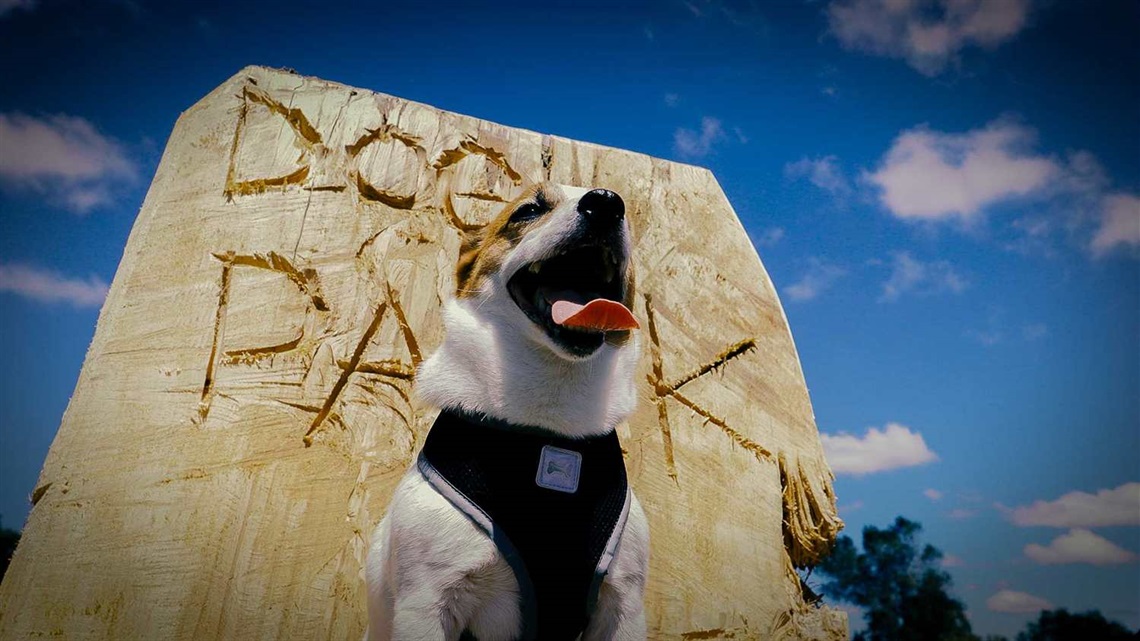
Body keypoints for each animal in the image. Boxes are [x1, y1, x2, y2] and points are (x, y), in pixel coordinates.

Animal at [367, 181, 652, 638]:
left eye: (624, 211)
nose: (607, 202)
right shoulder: (427, 601)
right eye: (528, 211)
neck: (543, 428)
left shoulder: (622, 603)